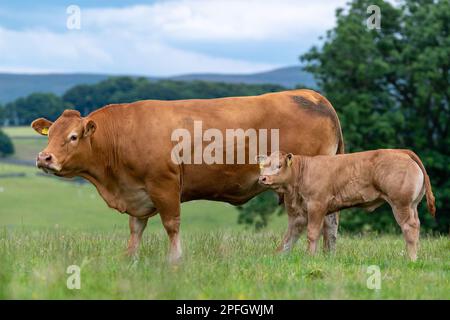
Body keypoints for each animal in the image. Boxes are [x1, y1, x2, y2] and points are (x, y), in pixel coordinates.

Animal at [31, 88, 344, 262]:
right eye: (50, 134)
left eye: (73, 137)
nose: (44, 158)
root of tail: (311, 95)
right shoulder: (137, 191)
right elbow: (136, 227)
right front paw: (129, 258)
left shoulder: (164, 184)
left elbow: (171, 224)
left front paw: (174, 259)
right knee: (329, 219)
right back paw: (328, 256)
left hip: (297, 184)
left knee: (301, 220)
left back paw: (282, 254)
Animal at [256, 149, 436, 260]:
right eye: (263, 166)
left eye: (279, 165)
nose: (262, 178)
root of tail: (400, 151)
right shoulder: (298, 214)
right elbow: (289, 237)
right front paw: (278, 257)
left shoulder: (316, 205)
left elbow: (312, 234)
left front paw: (309, 257)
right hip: (412, 205)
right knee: (417, 225)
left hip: (401, 203)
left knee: (409, 227)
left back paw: (411, 259)